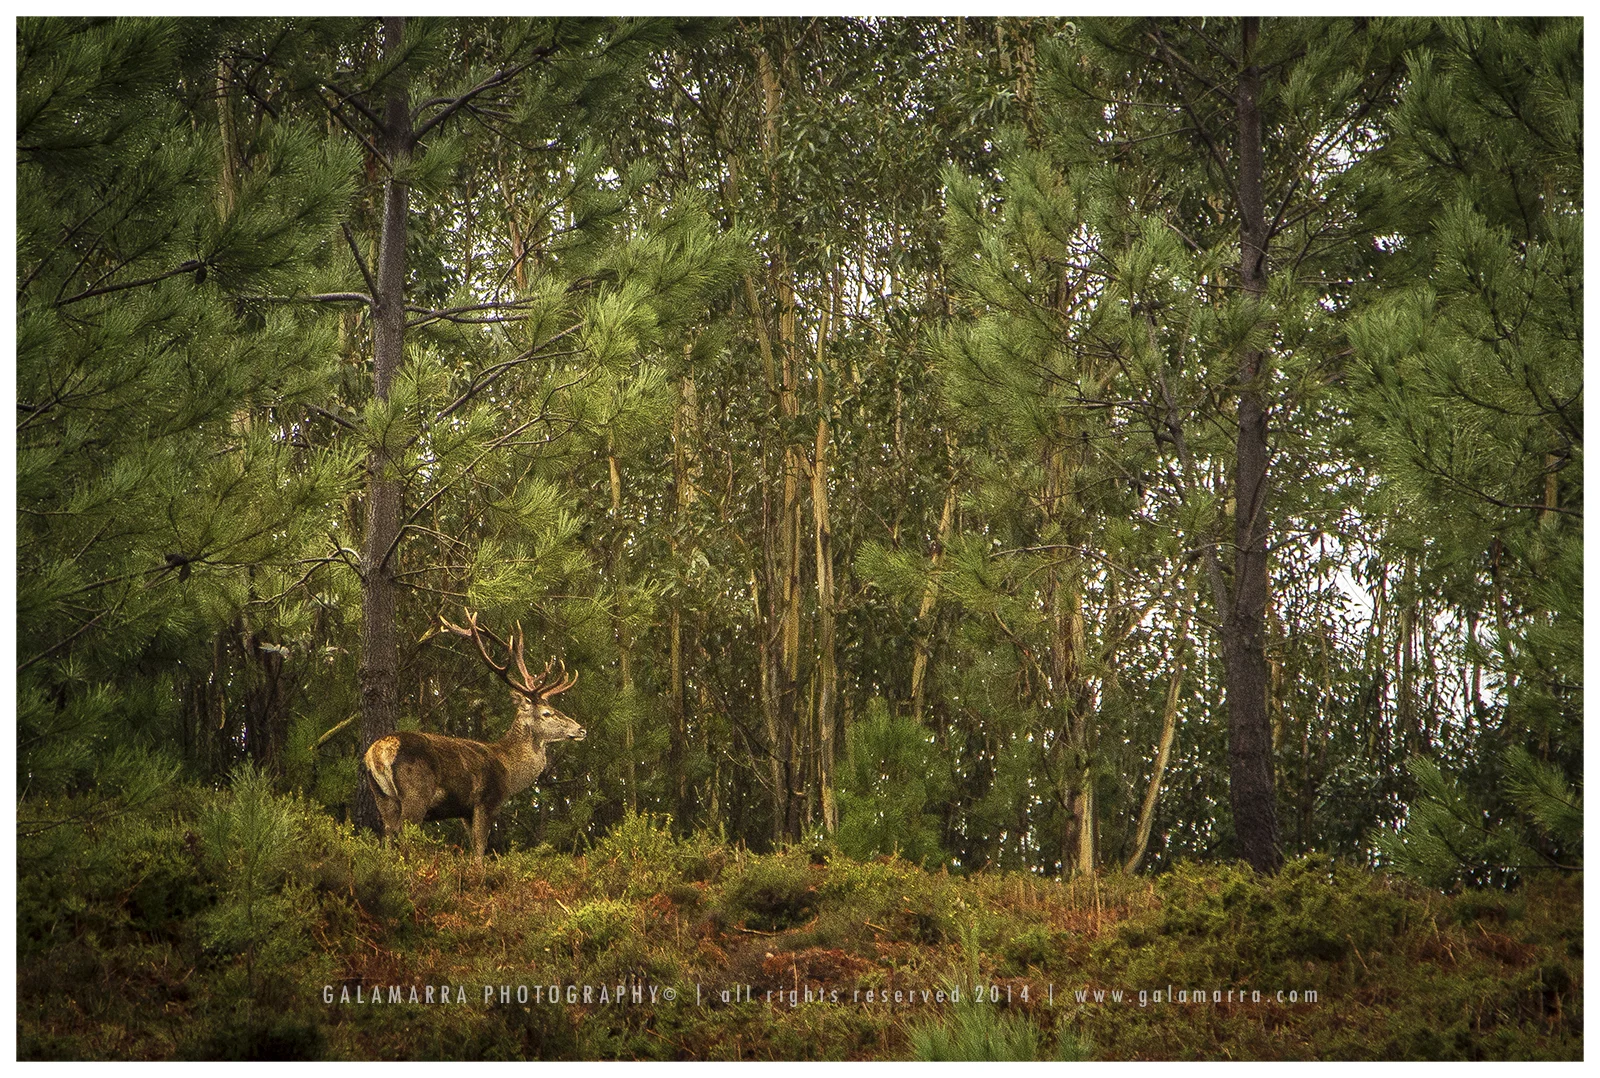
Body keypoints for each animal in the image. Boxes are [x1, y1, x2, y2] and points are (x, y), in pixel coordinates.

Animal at [362, 611, 585, 863]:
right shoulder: (486, 801)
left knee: (388, 835)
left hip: (382, 797)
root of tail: (378, 753)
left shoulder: (464, 811)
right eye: (547, 713)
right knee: (403, 834)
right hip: (416, 792)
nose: (581, 729)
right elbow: (479, 850)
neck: (509, 770)